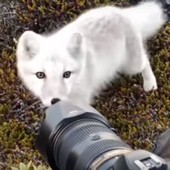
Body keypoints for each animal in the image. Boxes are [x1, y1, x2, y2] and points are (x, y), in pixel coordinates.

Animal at [16, 1, 166, 107]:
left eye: (67, 74)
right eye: (40, 75)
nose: (56, 101)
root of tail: (120, 12)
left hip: (132, 65)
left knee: (145, 61)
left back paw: (150, 83)